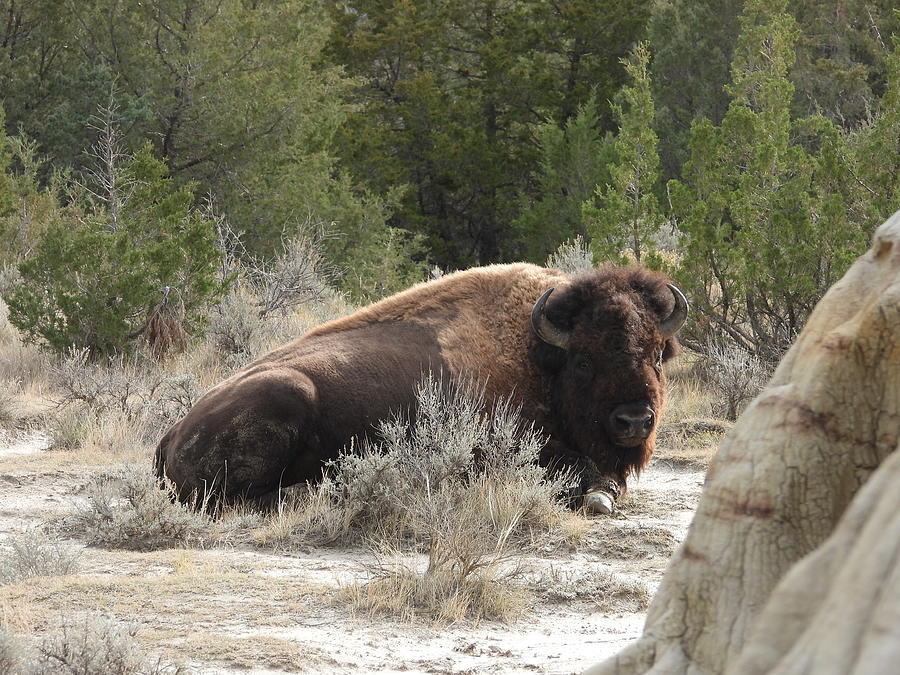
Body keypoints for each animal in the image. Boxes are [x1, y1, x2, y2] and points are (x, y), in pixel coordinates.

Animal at [154, 262, 687, 514]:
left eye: (657, 353)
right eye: (583, 360)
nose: (634, 420)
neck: (536, 354)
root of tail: (172, 432)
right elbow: (583, 473)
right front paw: (599, 496)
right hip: (287, 393)